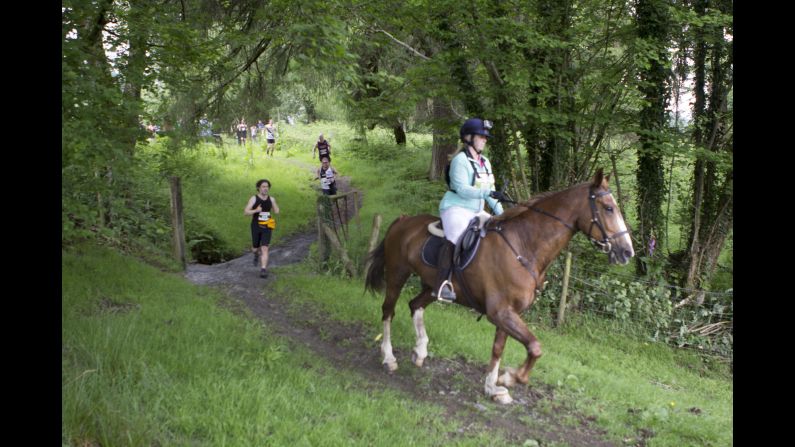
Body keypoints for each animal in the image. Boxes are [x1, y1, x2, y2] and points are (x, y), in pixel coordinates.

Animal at [366, 170, 636, 404]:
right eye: (608, 208)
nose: (627, 252)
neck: (523, 246)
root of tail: (404, 220)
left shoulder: (508, 313)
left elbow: (498, 348)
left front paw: (492, 387)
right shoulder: (501, 312)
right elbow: (535, 347)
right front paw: (510, 378)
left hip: (431, 287)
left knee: (415, 305)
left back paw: (420, 350)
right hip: (397, 275)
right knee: (388, 311)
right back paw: (389, 357)